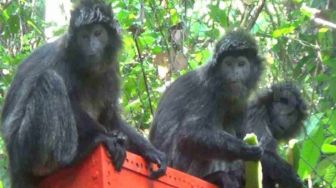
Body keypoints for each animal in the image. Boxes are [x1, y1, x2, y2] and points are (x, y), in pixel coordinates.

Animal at [1, 0, 167, 187]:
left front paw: (149, 150)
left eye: (98, 33)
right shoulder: (61, 61)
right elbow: (75, 107)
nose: (92, 47)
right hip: (25, 148)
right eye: (84, 36)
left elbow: (111, 117)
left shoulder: (111, 70)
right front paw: (106, 136)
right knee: (50, 80)